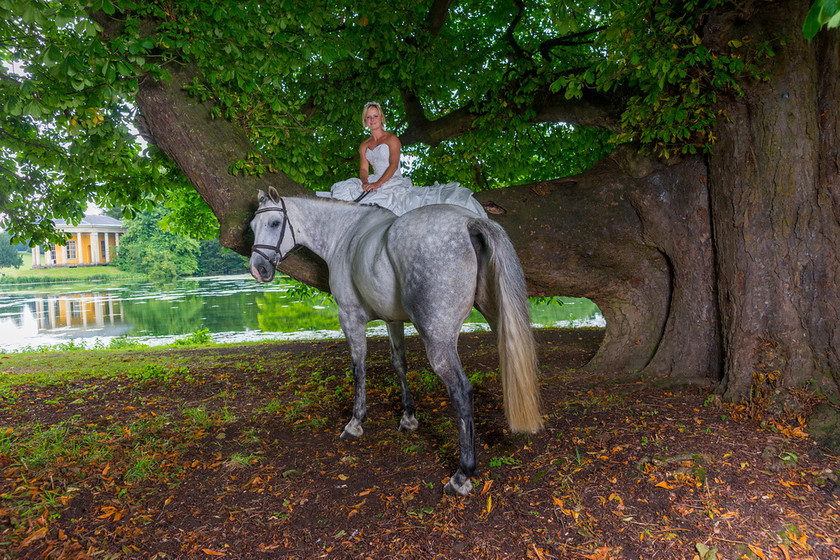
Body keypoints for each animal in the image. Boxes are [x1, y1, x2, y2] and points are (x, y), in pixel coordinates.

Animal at [246, 188, 540, 494]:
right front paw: (408, 418)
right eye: (252, 226)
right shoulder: (393, 320)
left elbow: (358, 368)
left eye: (274, 223)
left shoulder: (350, 316)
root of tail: (468, 222)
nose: (257, 269)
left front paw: (355, 422)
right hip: (497, 319)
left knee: (461, 391)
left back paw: (462, 474)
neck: (346, 234)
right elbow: (399, 364)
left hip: (438, 340)